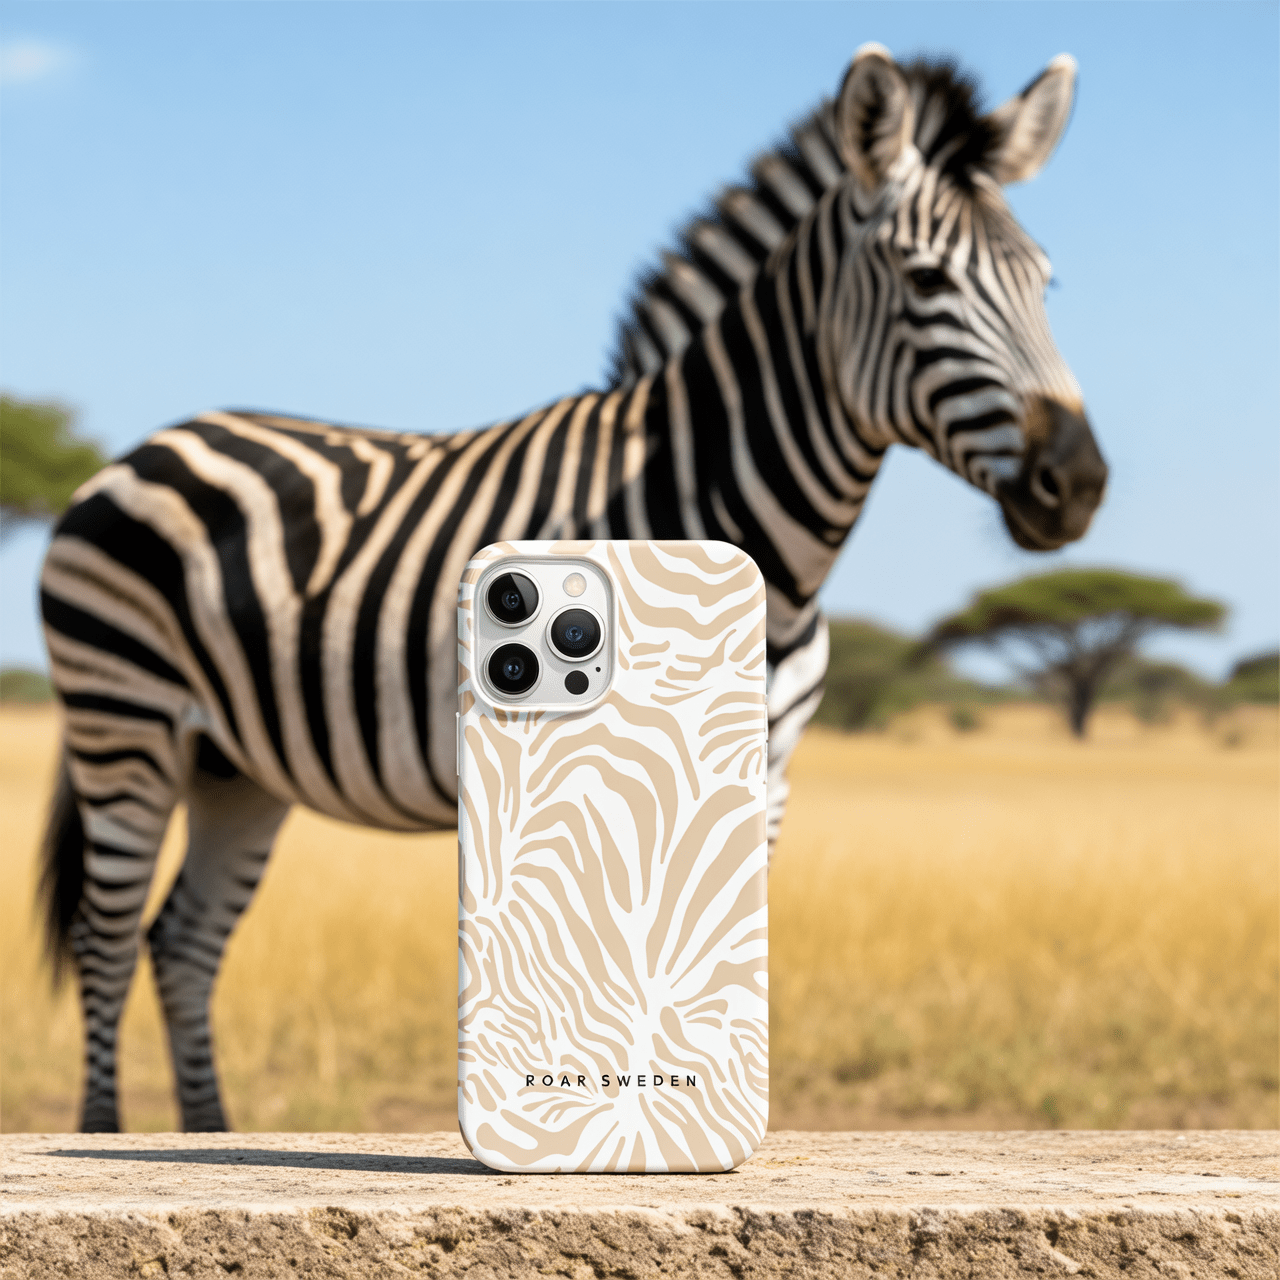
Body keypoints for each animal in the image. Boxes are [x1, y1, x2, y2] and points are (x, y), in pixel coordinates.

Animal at [39, 46, 1107, 1133]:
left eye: (1046, 283)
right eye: (925, 278)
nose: (1078, 484)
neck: (765, 565)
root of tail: (145, 444)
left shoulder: (767, 774)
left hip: (238, 764)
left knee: (182, 941)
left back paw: (209, 1135)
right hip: (124, 716)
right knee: (108, 938)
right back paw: (102, 1136)